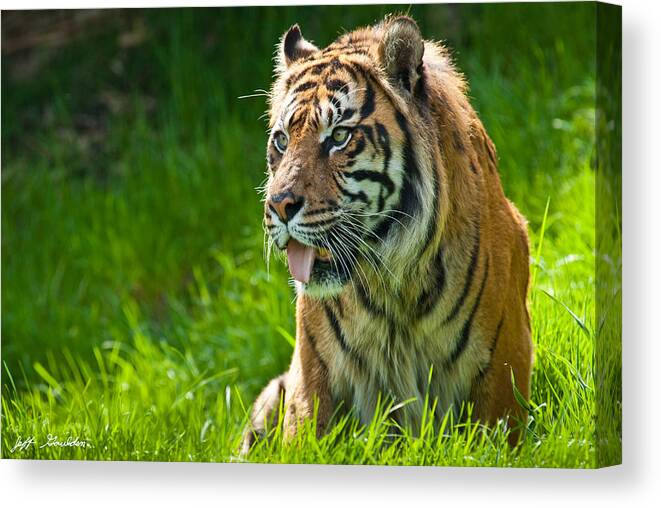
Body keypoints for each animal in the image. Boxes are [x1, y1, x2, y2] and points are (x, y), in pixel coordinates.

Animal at [241, 15, 532, 454]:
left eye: (338, 136)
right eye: (281, 140)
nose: (277, 205)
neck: (392, 283)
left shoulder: (502, 365)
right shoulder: (310, 380)